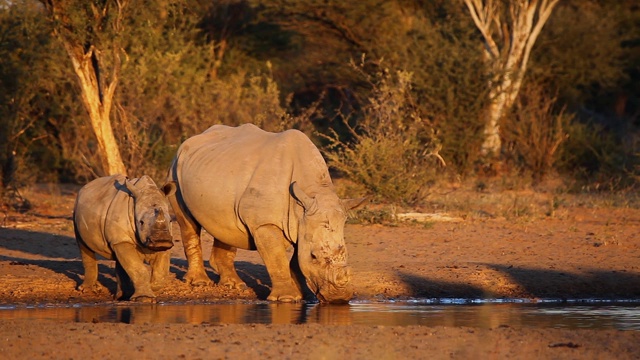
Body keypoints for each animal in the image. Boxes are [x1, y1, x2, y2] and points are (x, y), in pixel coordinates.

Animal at [165, 124, 364, 304]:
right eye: (314, 257)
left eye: (345, 253)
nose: (339, 298)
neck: (311, 193)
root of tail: (188, 142)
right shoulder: (264, 223)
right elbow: (276, 258)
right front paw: (286, 298)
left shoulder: (303, 222)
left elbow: (296, 261)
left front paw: (305, 297)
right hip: (175, 171)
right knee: (188, 223)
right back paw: (199, 283)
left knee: (224, 225)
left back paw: (234, 285)